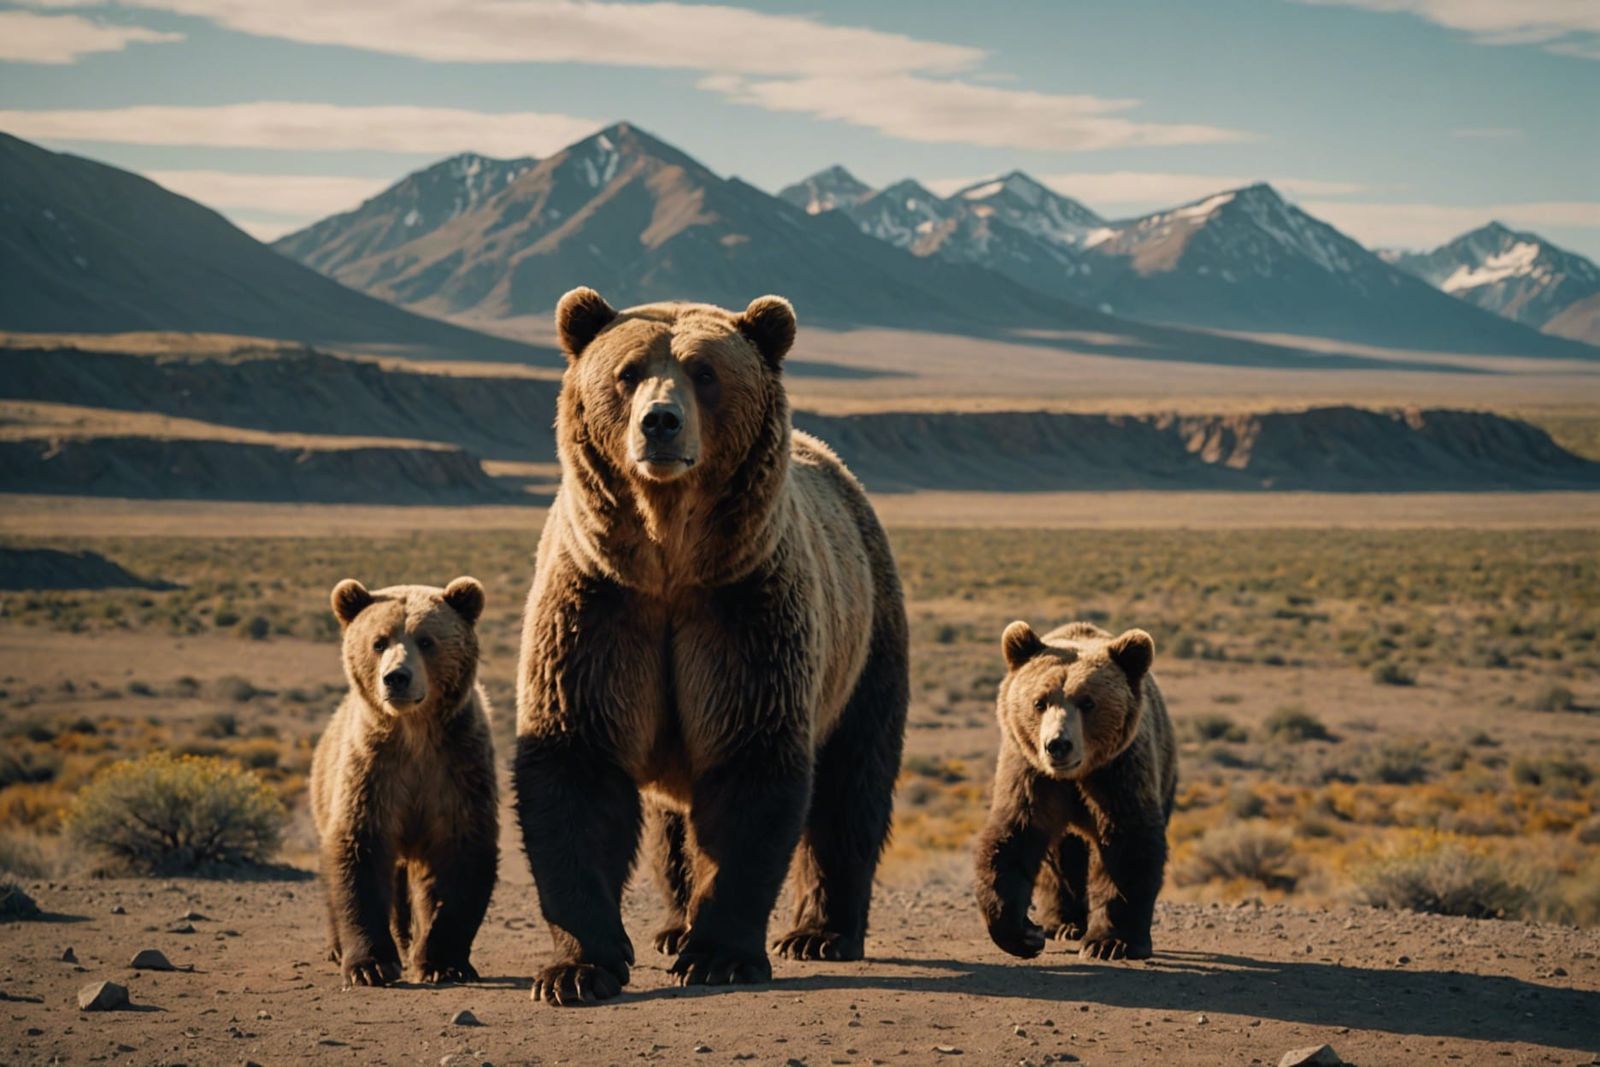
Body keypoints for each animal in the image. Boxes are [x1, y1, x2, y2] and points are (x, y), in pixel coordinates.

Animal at [310, 576, 498, 988]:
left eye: (426, 640)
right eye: (379, 641)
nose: (396, 677)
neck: (414, 733)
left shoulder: (456, 772)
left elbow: (458, 858)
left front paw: (442, 962)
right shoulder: (374, 773)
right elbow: (358, 850)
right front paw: (370, 965)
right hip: (325, 786)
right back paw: (337, 947)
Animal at [513, 288, 909, 1005]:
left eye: (705, 372)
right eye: (628, 372)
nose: (661, 423)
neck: (668, 557)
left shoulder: (743, 612)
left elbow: (750, 766)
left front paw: (720, 954)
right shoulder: (599, 608)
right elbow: (575, 763)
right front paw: (577, 968)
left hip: (867, 642)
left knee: (852, 784)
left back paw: (820, 930)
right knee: (675, 823)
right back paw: (674, 925)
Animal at [974, 620, 1177, 962]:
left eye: (1088, 702)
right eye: (1039, 701)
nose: (1058, 744)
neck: (1076, 776)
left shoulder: (1117, 773)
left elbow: (1127, 846)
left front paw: (1110, 942)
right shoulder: (1032, 775)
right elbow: (1014, 837)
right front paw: (1025, 933)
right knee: (1061, 858)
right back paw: (1062, 923)